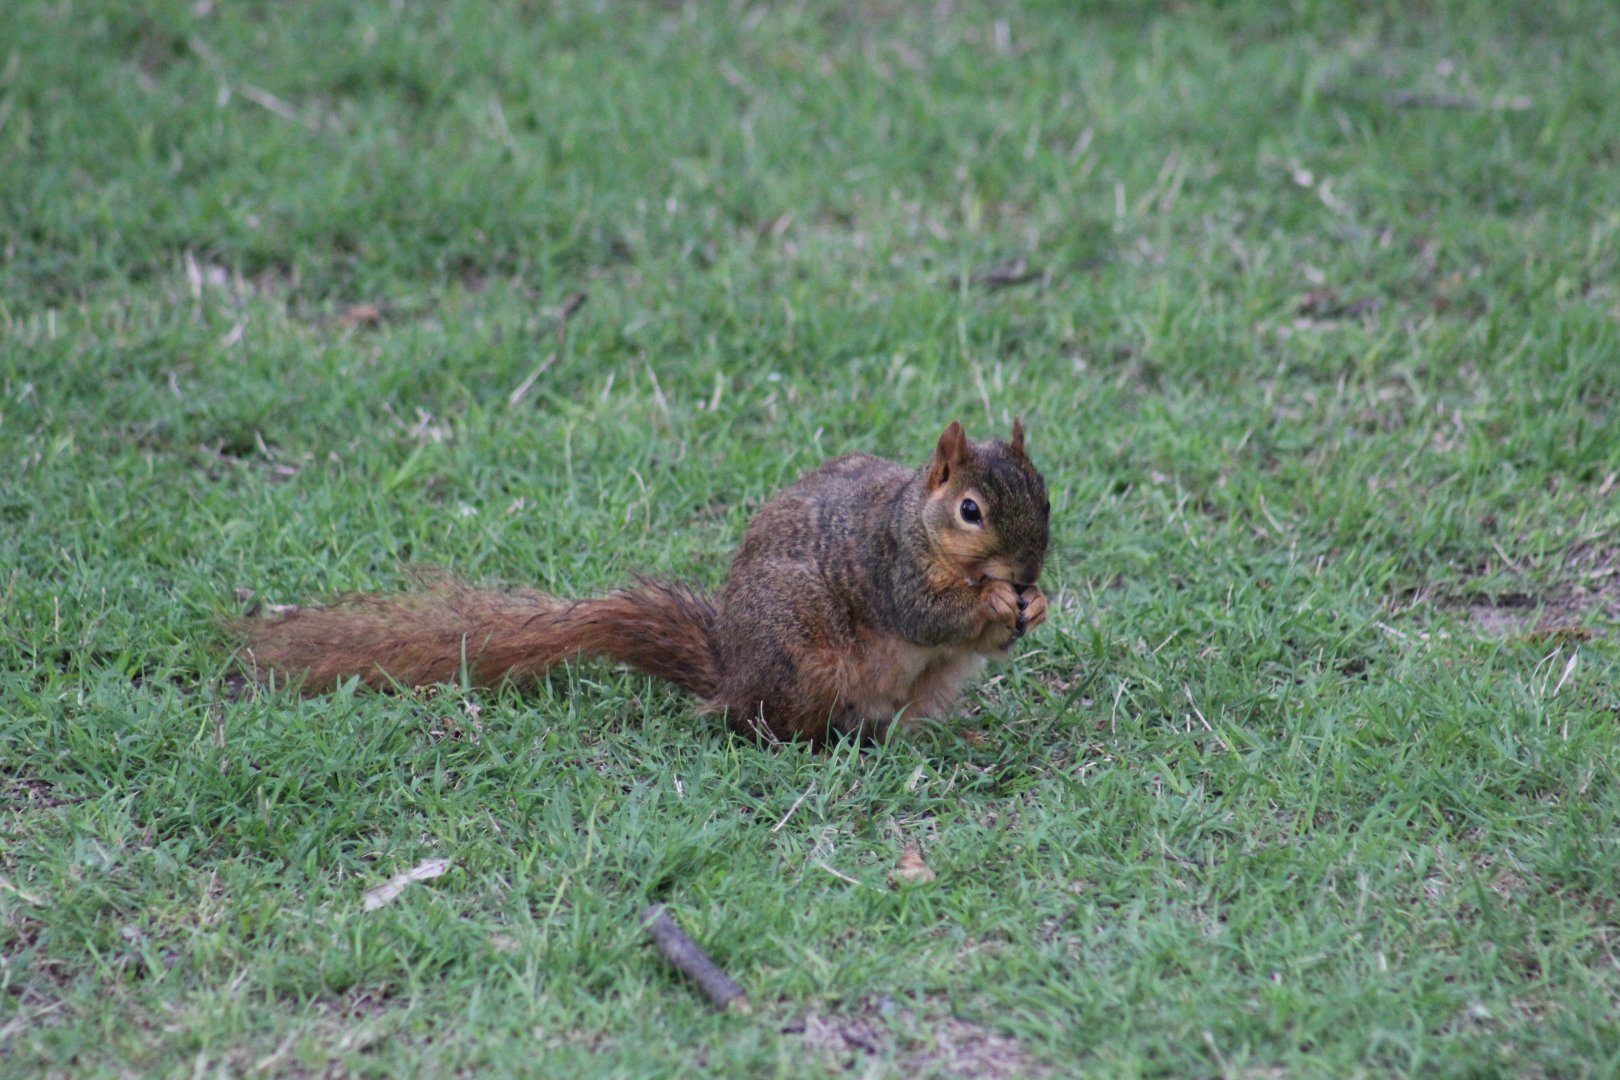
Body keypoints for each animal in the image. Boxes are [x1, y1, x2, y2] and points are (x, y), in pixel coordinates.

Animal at [235, 419, 1050, 745]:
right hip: (802, 653)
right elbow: (926, 612)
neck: (919, 522)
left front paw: (1036, 605)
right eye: (971, 510)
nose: (1029, 569)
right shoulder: (888, 566)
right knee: (766, 723)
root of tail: (731, 674)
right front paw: (992, 599)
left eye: (1045, 494)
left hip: (924, 689)